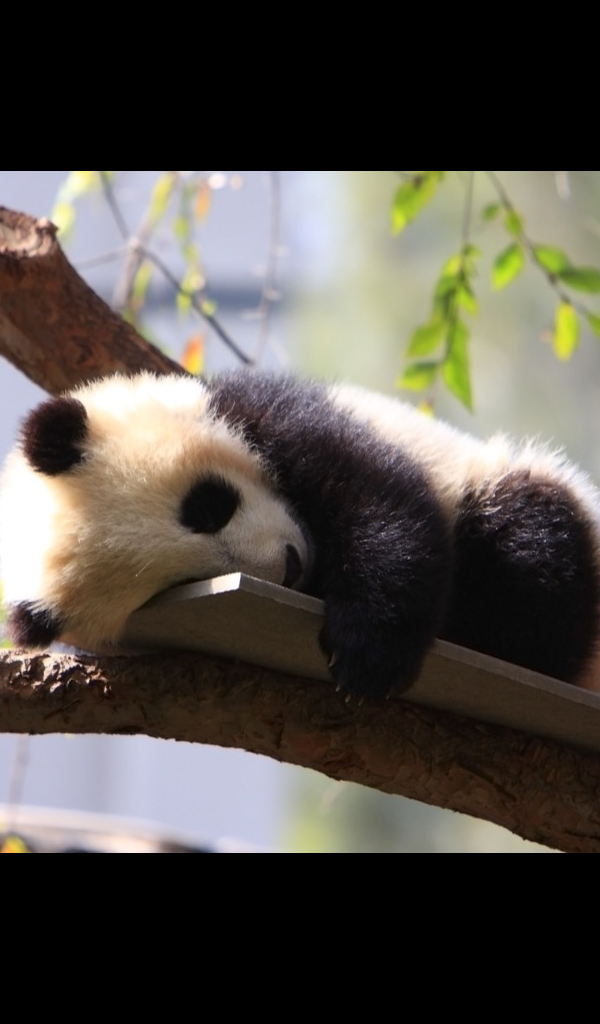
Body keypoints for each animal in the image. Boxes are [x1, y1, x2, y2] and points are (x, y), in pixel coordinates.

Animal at [1, 370, 600, 703]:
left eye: (208, 506)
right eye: (184, 583)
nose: (290, 566)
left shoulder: (273, 413)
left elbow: (379, 499)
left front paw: (369, 654)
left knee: (530, 546)